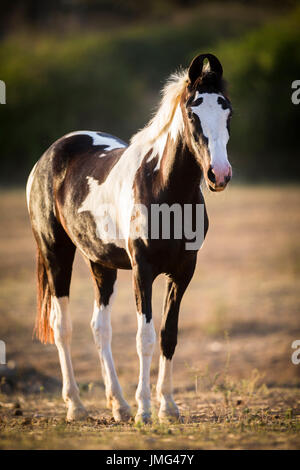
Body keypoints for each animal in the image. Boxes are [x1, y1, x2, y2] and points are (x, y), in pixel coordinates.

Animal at [26, 53, 232, 424]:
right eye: (192, 112)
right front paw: (145, 410)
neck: (165, 189)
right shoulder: (142, 270)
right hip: (55, 254)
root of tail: (50, 154)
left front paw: (168, 407)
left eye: (227, 111)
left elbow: (168, 335)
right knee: (62, 326)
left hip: (101, 264)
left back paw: (118, 405)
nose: (219, 175)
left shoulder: (183, 271)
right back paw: (76, 407)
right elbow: (144, 338)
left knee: (99, 327)